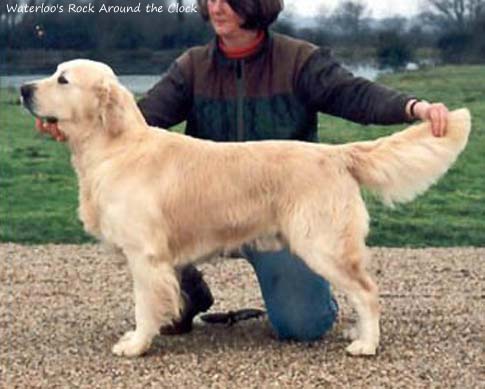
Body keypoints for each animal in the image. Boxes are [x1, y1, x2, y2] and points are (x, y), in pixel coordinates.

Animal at [19, 59, 468, 356]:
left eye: (63, 78)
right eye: (53, 72)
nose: (23, 89)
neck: (115, 146)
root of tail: (336, 153)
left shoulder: (144, 255)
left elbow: (143, 305)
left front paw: (135, 344)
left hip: (322, 245)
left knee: (367, 292)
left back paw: (366, 344)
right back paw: (356, 333)